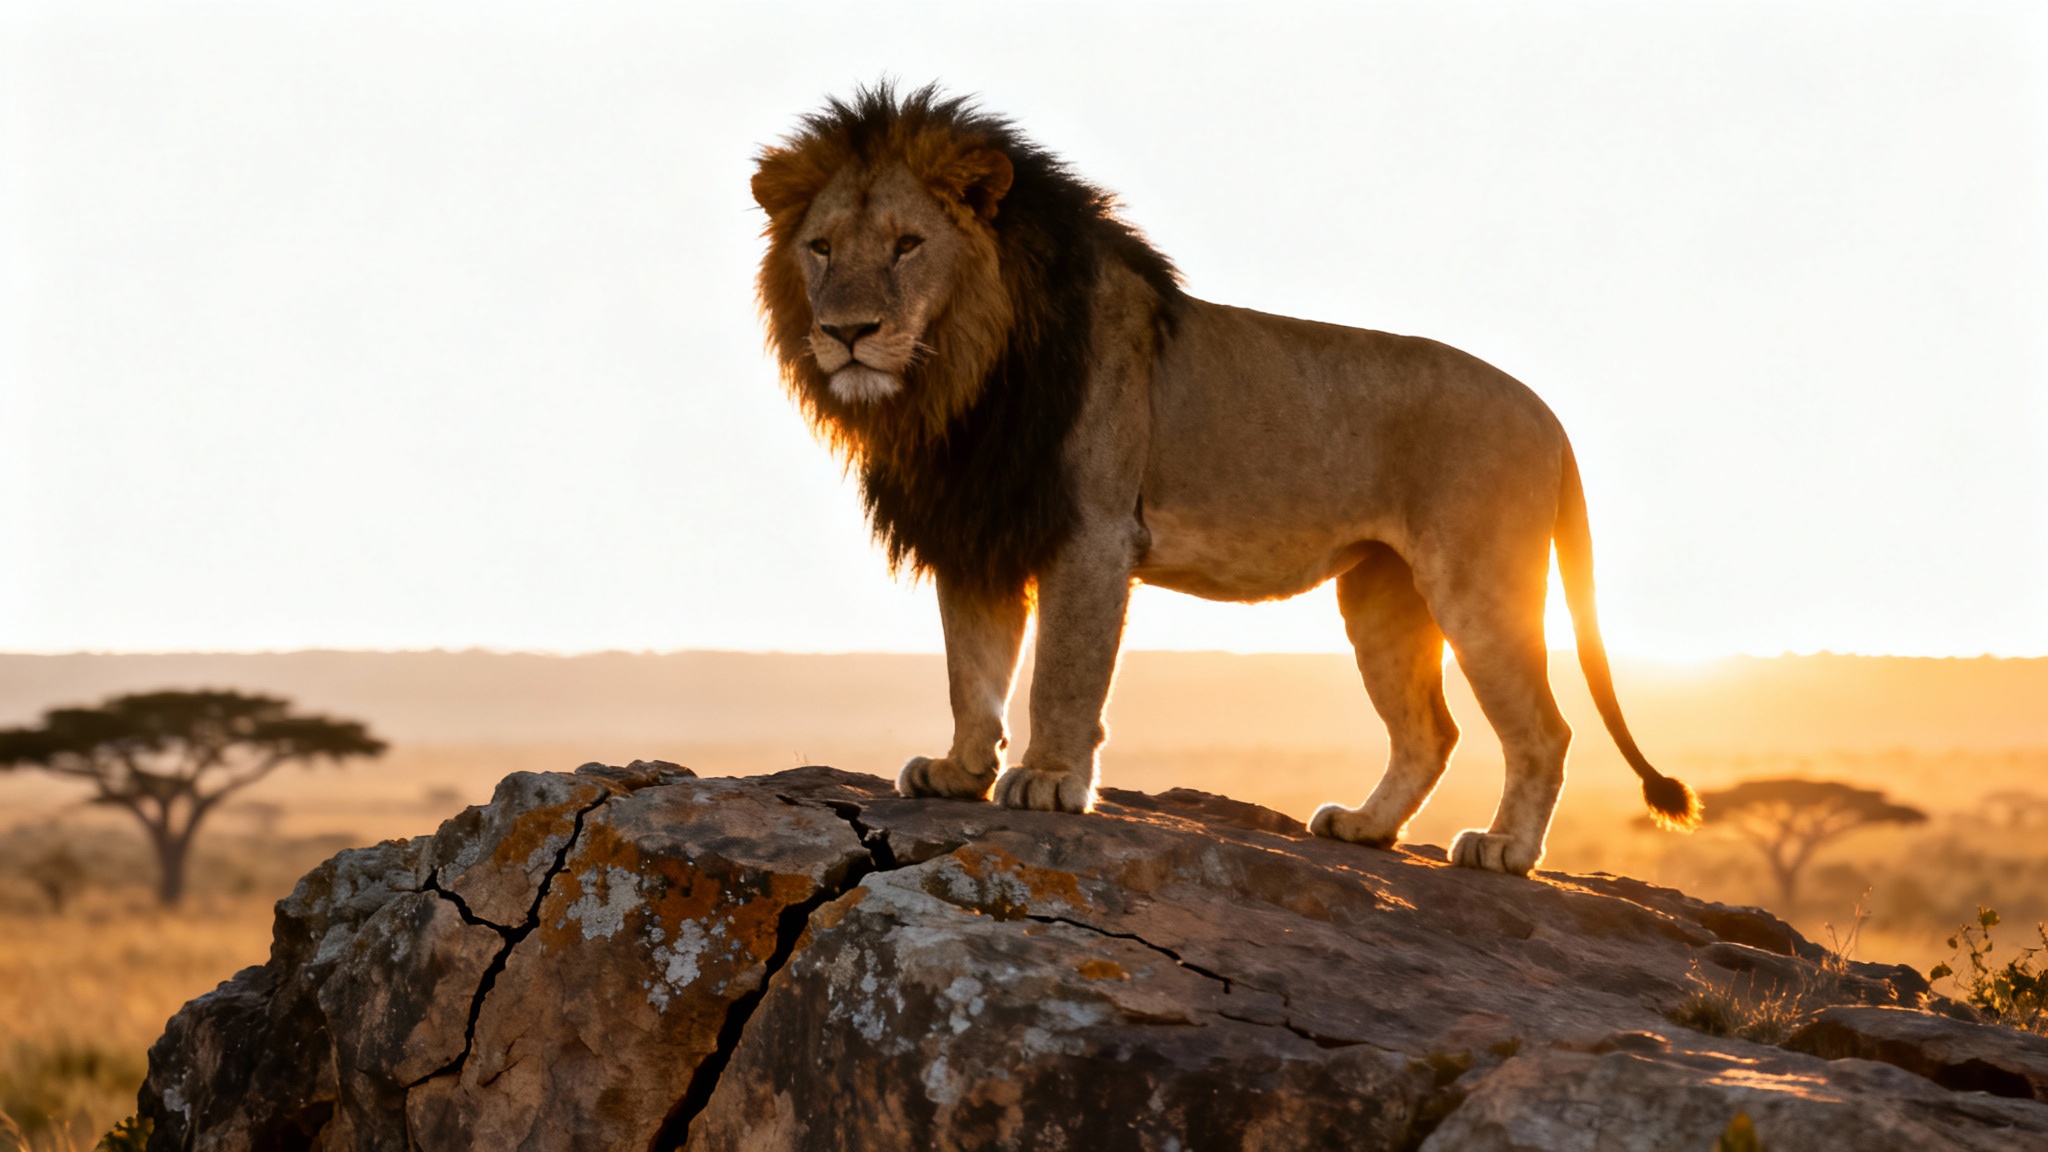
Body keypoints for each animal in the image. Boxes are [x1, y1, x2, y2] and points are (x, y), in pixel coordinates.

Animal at [749, 84, 1700, 875]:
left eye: (908, 246)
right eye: (821, 248)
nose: (846, 332)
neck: (956, 378)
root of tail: (1548, 414)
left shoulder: (1091, 530)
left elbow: (1063, 669)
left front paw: (1050, 780)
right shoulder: (979, 525)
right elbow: (970, 668)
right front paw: (957, 770)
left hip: (1479, 583)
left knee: (1544, 730)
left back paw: (1504, 850)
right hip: (1382, 595)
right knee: (1430, 732)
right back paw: (1365, 827)